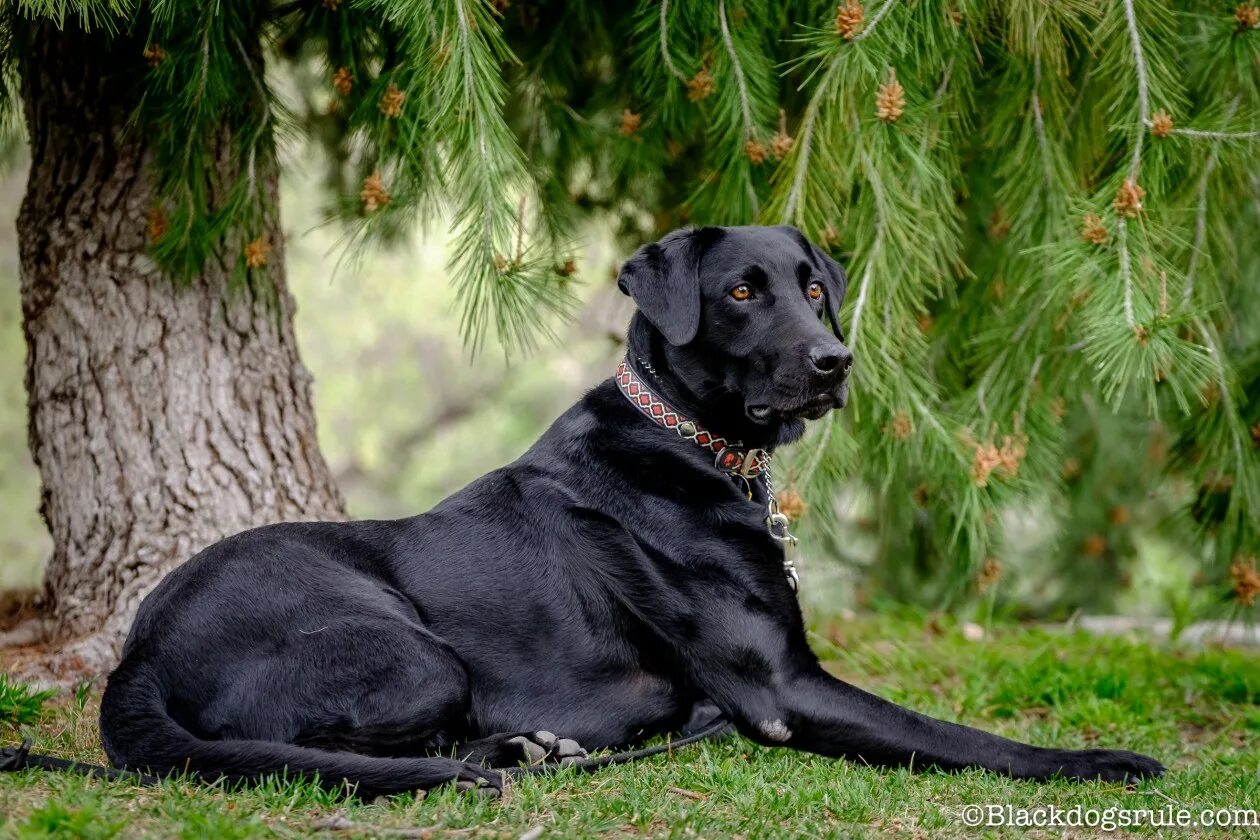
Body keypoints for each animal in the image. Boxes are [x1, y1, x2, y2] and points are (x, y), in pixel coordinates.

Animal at [98, 222, 1159, 795]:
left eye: (814, 288)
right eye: (742, 292)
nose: (835, 362)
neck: (694, 445)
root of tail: (139, 649)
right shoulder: (784, 691)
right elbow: (963, 737)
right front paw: (1098, 762)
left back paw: (534, 747)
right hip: (409, 654)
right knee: (300, 750)